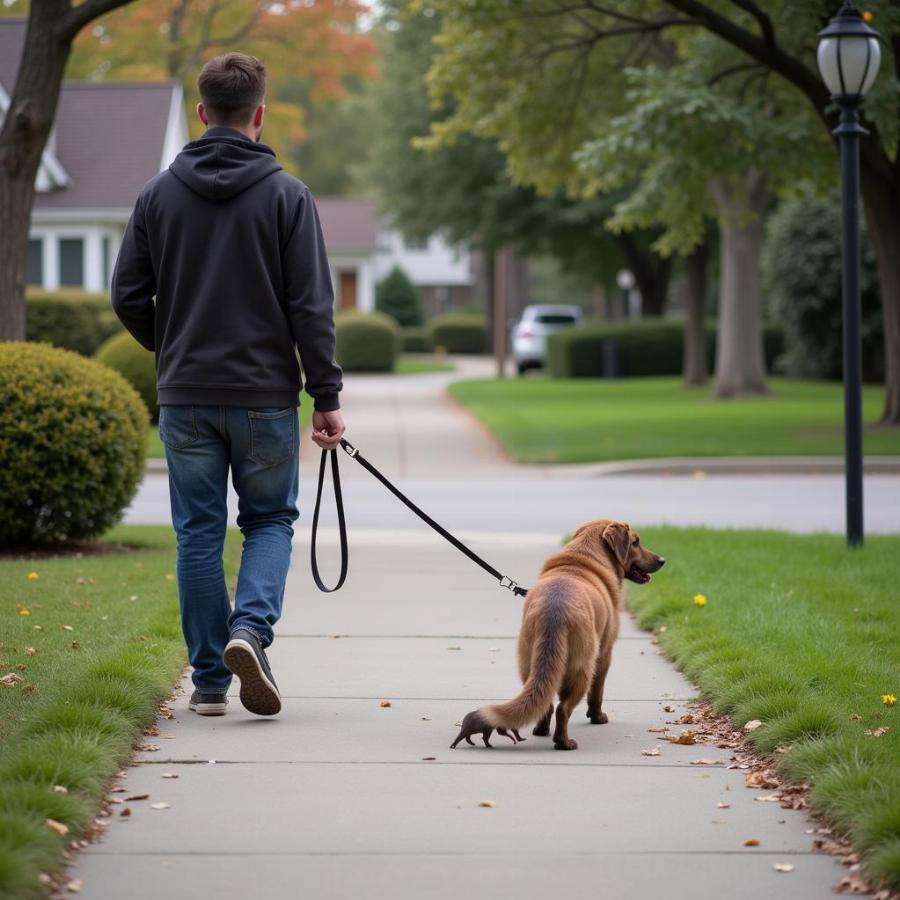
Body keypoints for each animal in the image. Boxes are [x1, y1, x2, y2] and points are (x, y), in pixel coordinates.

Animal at [454, 520, 664, 752]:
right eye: (635, 542)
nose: (662, 560)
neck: (584, 557)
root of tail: (554, 613)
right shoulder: (604, 654)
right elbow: (596, 694)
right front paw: (598, 717)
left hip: (527, 664)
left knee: (545, 705)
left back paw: (541, 730)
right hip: (581, 670)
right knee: (563, 709)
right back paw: (564, 742)